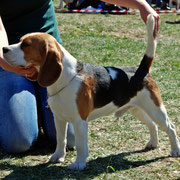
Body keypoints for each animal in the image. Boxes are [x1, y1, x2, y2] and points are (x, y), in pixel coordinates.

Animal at [2, 14, 180, 171]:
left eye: (26, 45)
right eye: (20, 41)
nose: (3, 49)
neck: (66, 78)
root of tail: (140, 70)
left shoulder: (79, 121)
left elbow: (81, 145)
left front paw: (79, 164)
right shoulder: (59, 119)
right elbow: (61, 139)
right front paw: (58, 157)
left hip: (155, 108)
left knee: (170, 127)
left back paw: (175, 150)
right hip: (137, 109)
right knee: (152, 125)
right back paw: (153, 143)